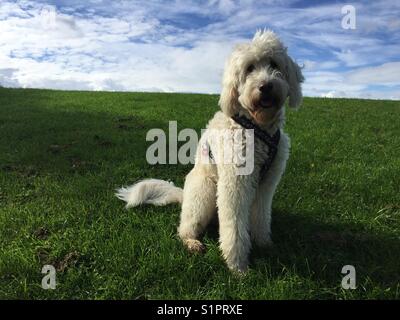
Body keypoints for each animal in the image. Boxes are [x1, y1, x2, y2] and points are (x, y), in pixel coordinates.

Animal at [115, 30, 304, 272]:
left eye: (274, 63)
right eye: (250, 68)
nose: (266, 86)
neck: (256, 127)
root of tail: (183, 195)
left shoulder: (266, 185)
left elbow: (261, 216)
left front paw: (264, 244)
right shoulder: (235, 184)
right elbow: (234, 226)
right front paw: (237, 266)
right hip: (204, 192)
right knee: (185, 228)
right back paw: (192, 243)